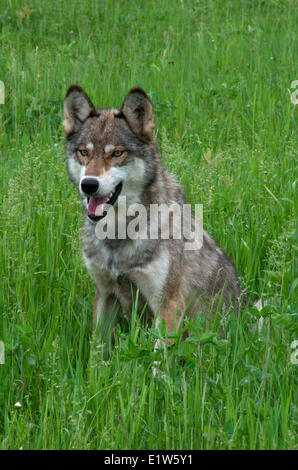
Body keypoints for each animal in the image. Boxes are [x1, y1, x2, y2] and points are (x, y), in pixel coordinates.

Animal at [63, 86, 249, 346]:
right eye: (84, 152)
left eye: (117, 153)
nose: (89, 184)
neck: (118, 233)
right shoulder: (104, 294)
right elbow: (96, 351)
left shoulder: (167, 304)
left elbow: (158, 355)